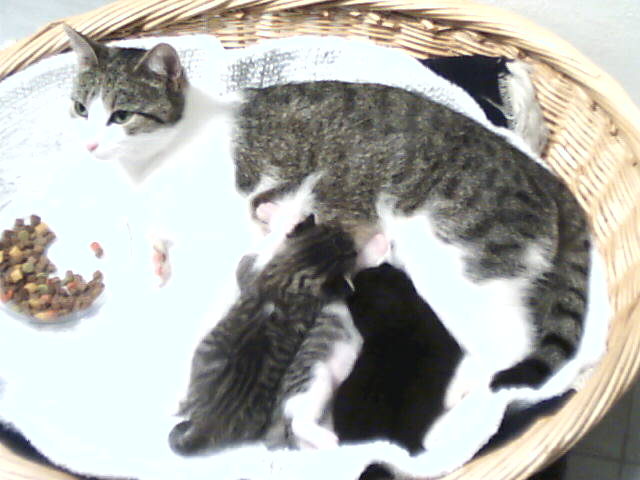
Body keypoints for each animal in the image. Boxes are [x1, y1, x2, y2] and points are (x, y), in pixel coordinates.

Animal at [168, 215, 360, 454]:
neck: (295, 271)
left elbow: (250, 259)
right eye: (335, 231)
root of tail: (208, 423)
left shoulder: (250, 273)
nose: (353, 240)